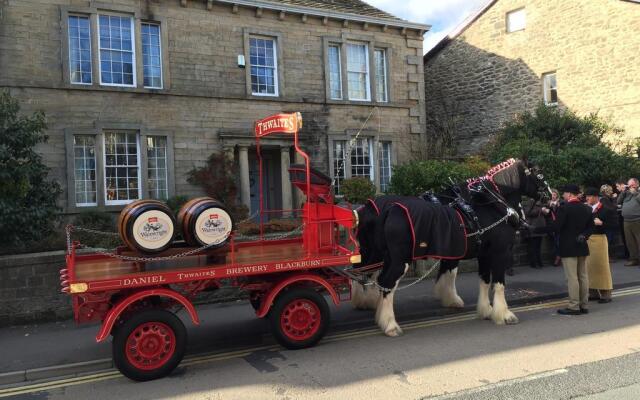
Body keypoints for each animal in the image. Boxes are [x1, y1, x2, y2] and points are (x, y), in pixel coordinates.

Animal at [352, 158, 548, 336]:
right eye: (539, 175)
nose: (550, 196)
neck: (492, 203)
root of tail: (389, 209)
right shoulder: (499, 251)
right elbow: (498, 283)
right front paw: (504, 315)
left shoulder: (482, 253)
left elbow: (482, 280)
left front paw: (484, 310)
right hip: (399, 259)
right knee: (385, 282)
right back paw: (389, 324)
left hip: (374, 252)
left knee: (364, 273)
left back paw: (370, 306)